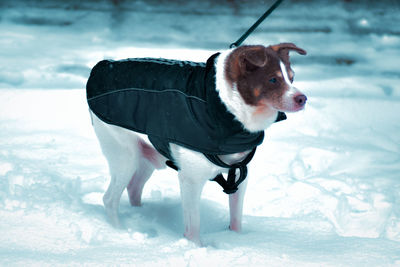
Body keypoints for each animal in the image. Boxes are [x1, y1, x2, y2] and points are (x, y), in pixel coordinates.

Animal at [86, 43, 306, 246]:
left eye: (292, 77)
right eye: (273, 79)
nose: (302, 99)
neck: (224, 107)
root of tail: (102, 67)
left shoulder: (240, 175)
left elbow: (236, 219)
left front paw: (236, 239)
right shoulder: (190, 180)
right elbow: (193, 226)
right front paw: (196, 248)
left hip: (146, 156)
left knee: (133, 188)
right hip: (125, 156)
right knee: (110, 199)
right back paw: (120, 233)